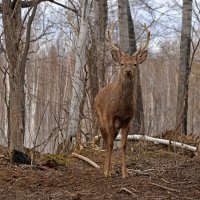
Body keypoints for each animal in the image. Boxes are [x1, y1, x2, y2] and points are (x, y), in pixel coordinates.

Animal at [94, 22, 150, 177]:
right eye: (122, 63)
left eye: (135, 64)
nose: (128, 71)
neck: (122, 107)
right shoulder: (109, 117)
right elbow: (110, 145)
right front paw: (107, 172)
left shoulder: (127, 120)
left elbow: (124, 145)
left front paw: (125, 173)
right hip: (100, 120)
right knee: (107, 143)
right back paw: (106, 170)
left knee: (110, 142)